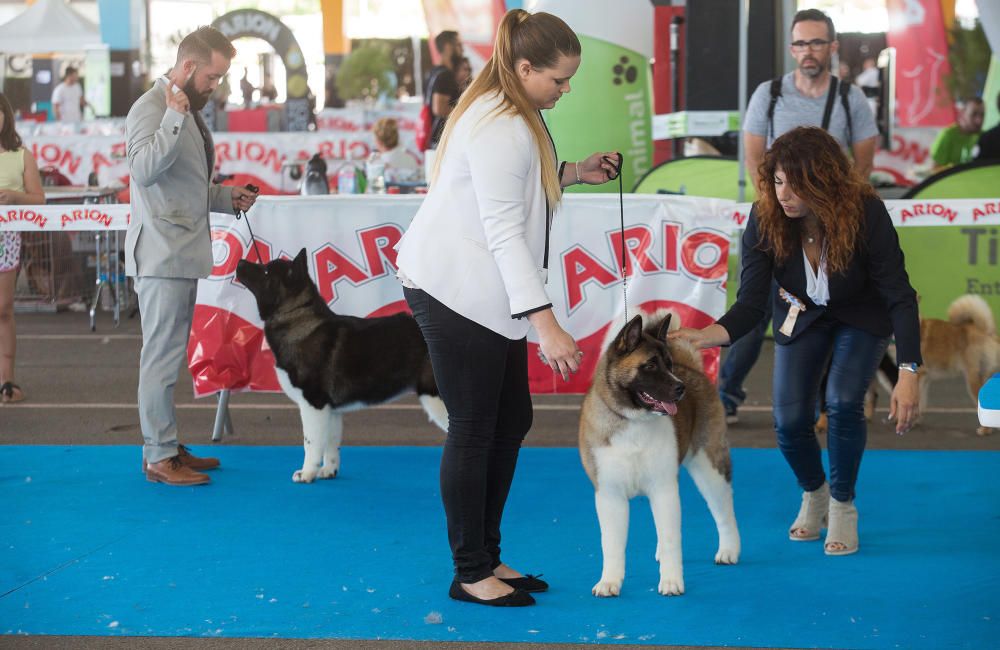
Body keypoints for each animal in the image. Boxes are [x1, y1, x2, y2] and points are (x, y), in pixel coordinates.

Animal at [236, 248, 448, 480]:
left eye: (266, 271)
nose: (239, 262)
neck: (295, 315)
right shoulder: (331, 410)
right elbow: (331, 445)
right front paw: (328, 471)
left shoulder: (314, 403)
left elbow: (310, 443)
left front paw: (307, 473)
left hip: (436, 398)